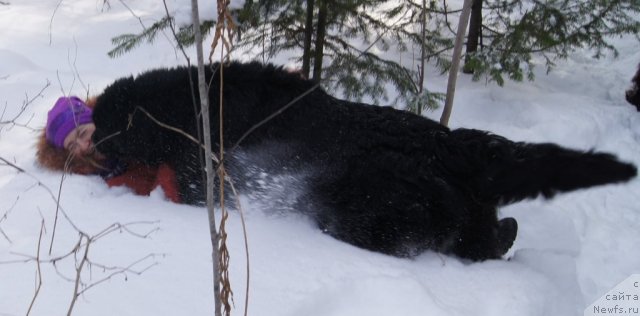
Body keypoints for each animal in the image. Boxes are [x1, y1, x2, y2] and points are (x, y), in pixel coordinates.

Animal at [90, 61, 636, 262]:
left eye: (103, 127)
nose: (89, 145)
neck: (185, 110)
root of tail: (456, 145)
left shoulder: (205, 177)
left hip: (370, 207)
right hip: (469, 212)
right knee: (491, 236)